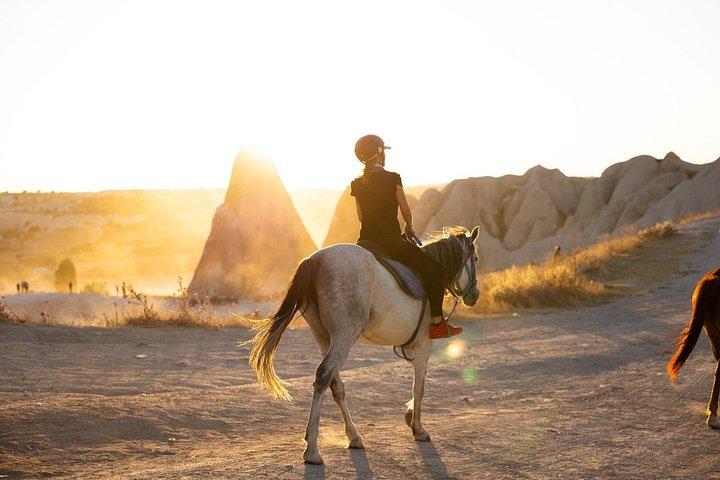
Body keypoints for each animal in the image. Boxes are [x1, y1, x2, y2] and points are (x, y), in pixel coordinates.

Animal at [249, 226, 481, 464]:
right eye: (475, 258)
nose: (474, 295)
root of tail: (316, 259)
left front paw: (409, 415)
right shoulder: (423, 346)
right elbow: (419, 387)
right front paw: (418, 428)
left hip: (324, 338)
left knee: (335, 385)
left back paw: (353, 436)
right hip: (344, 337)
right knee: (323, 376)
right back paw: (312, 449)